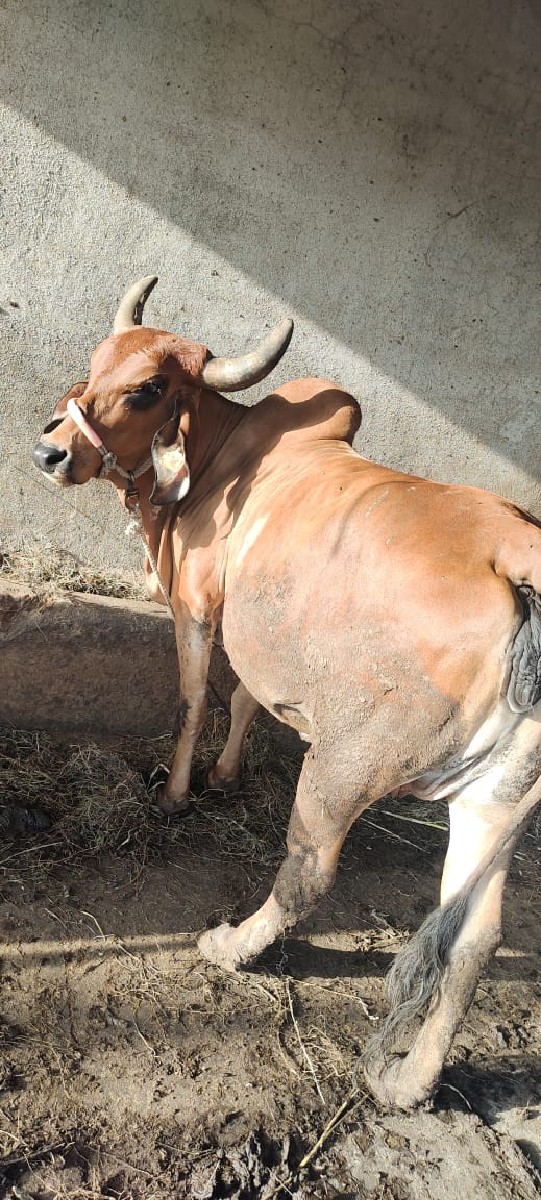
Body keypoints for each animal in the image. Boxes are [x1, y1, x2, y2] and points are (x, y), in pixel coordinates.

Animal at [33, 276, 541, 1109]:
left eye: (147, 390)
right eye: (96, 362)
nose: (49, 451)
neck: (218, 457)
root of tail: (517, 557)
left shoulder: (197, 605)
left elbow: (193, 702)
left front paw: (176, 792)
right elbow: (244, 700)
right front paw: (226, 774)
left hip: (343, 769)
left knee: (308, 875)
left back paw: (231, 945)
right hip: (494, 803)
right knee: (474, 940)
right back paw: (409, 1082)